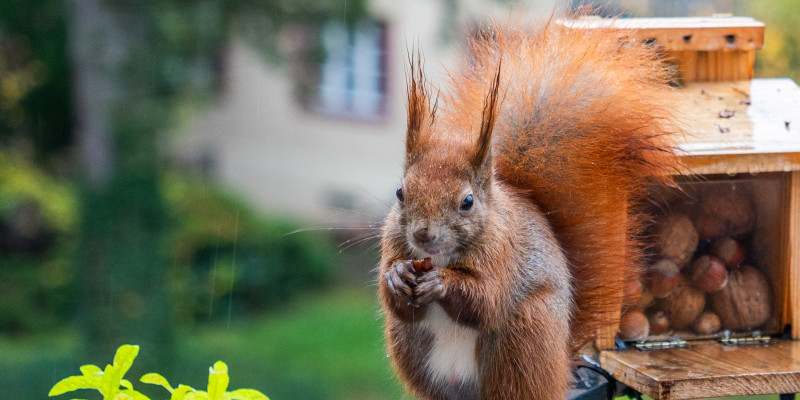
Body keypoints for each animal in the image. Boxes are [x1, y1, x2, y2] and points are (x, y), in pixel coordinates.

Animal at [380, 17, 680, 400]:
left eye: (467, 202)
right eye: (400, 192)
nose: (422, 235)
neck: (441, 256)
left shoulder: (504, 253)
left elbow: (488, 301)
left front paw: (441, 282)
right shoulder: (393, 242)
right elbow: (398, 302)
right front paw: (396, 276)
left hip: (525, 336)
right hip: (409, 344)